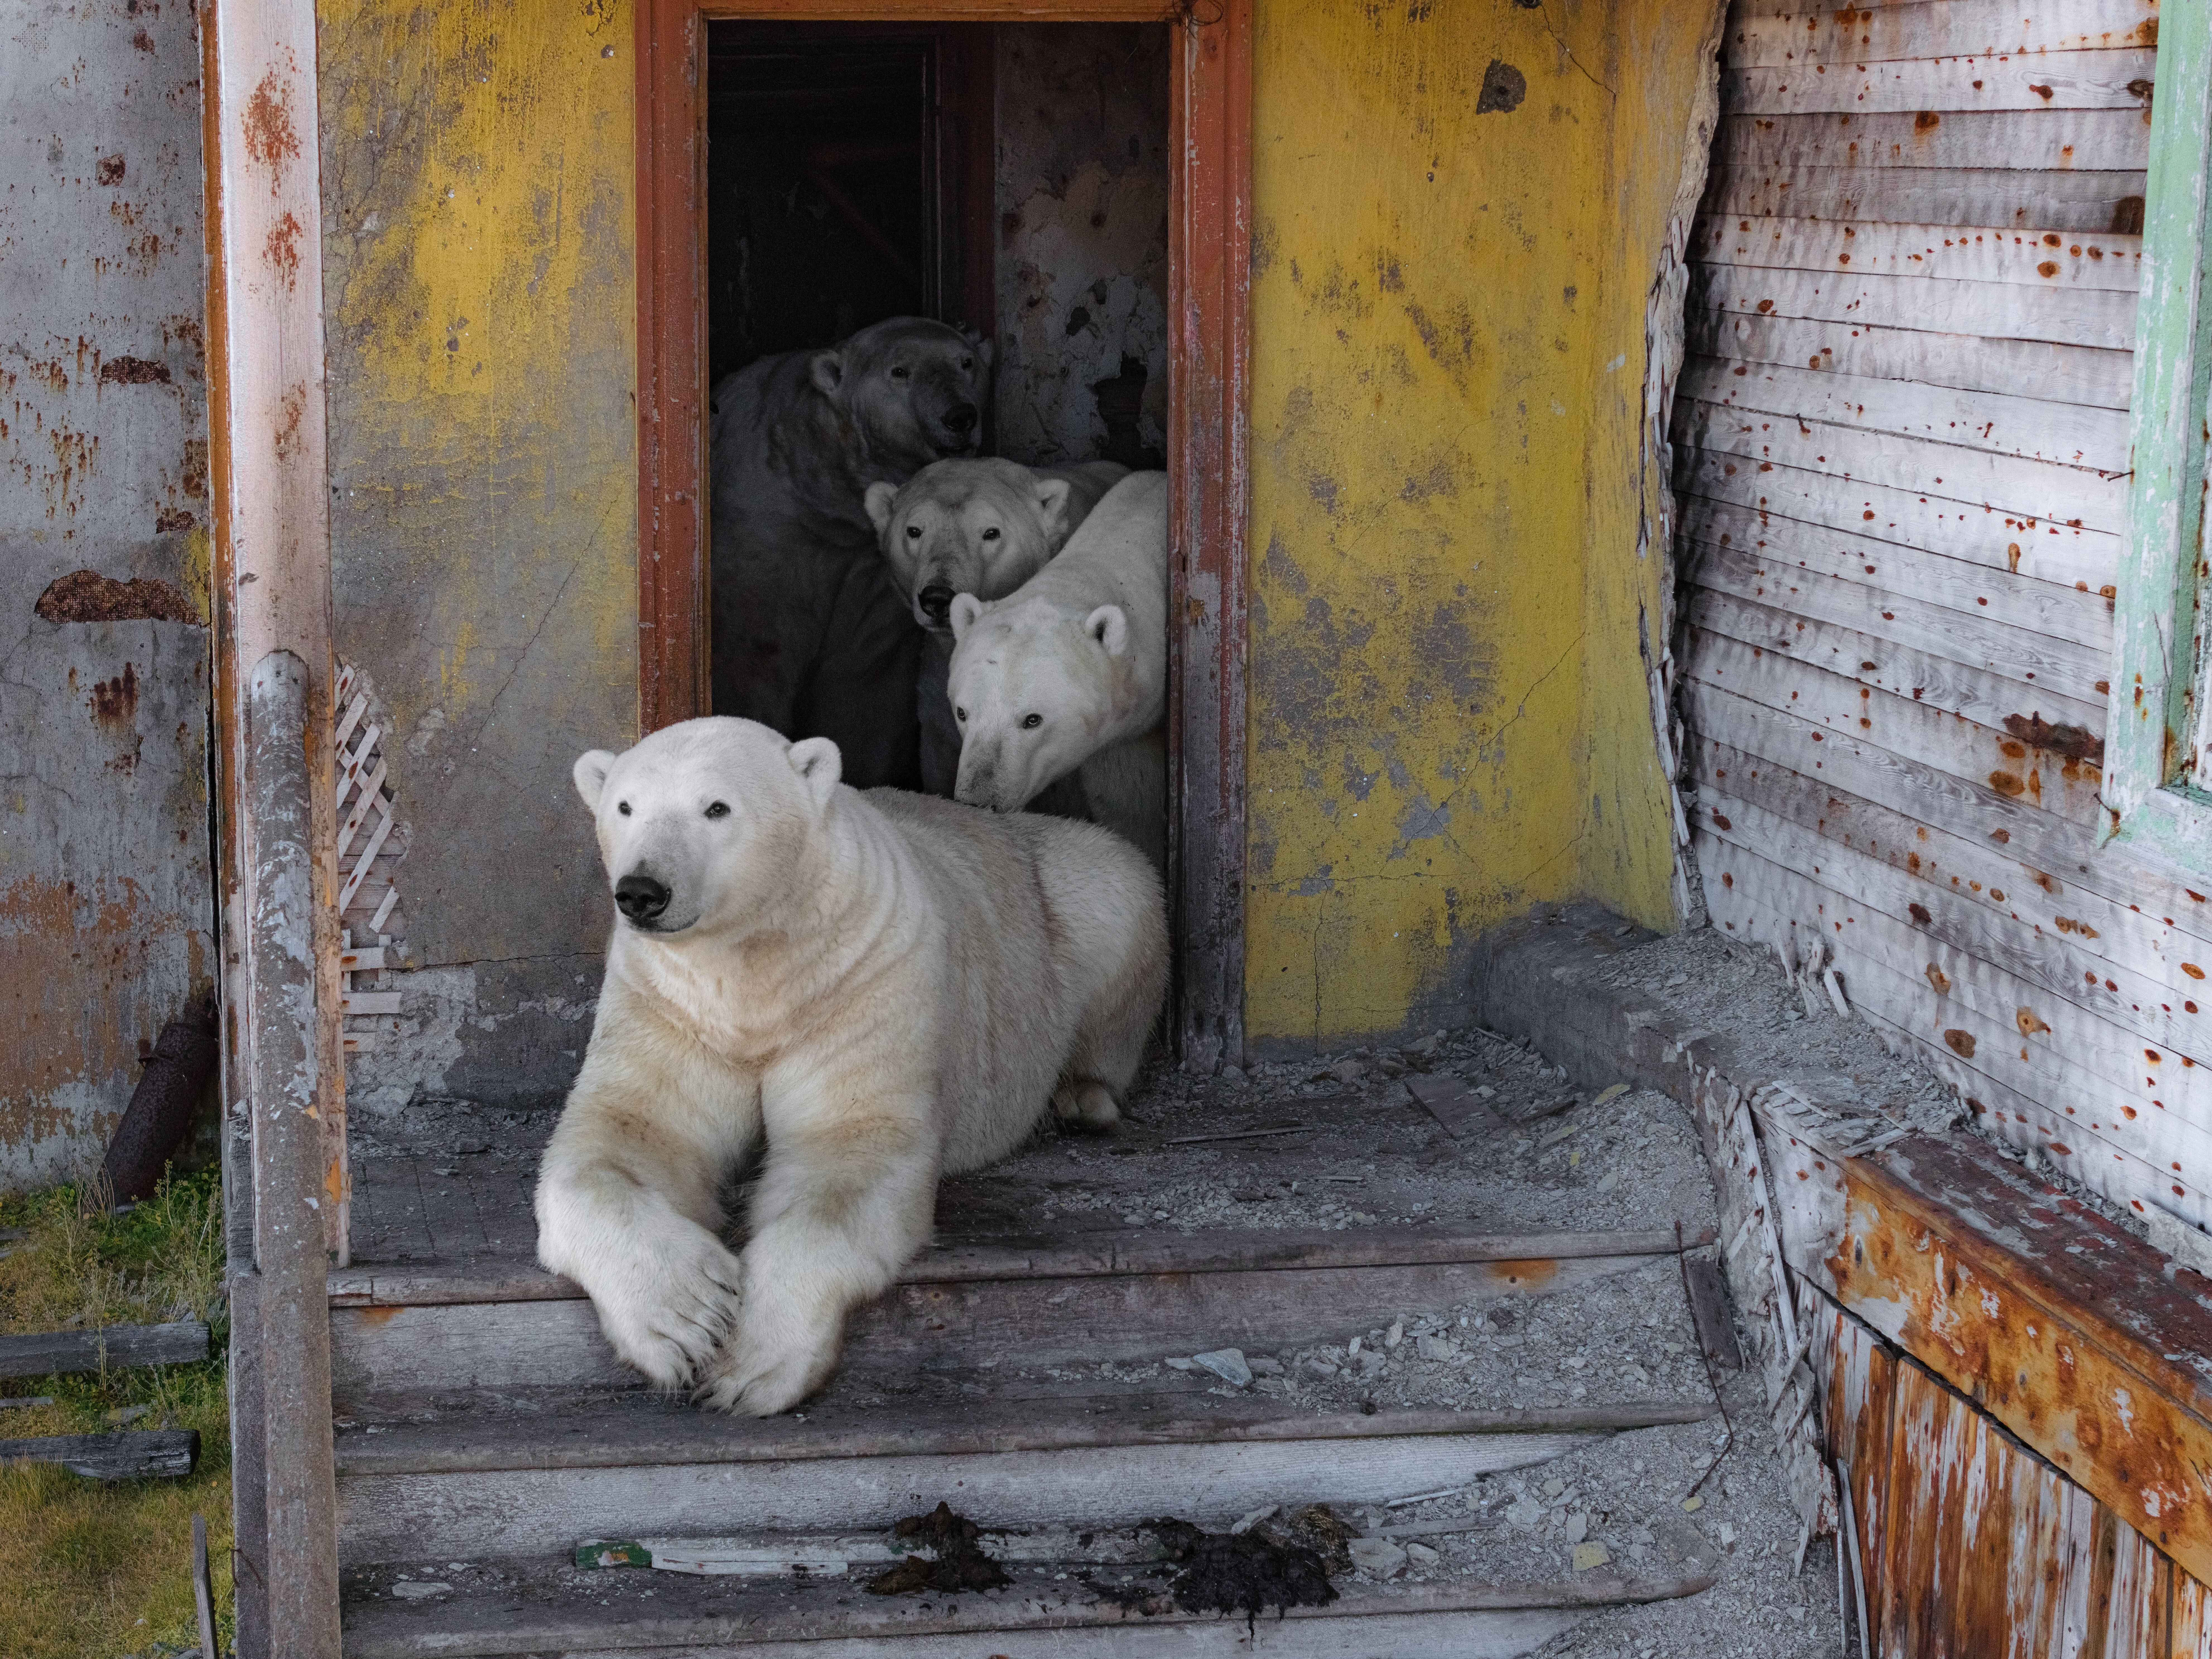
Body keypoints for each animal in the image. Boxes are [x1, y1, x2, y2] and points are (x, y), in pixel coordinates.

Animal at [533, 716, 1168, 1416]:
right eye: (625, 806)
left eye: (716, 807)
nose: (642, 891)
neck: (758, 965)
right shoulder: (671, 1001)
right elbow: (631, 1130)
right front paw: (685, 1318)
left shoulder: (860, 981)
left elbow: (847, 1151)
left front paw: (751, 1367)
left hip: (1074, 897)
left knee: (1119, 900)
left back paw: (1082, 1099)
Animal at [709, 317, 993, 792]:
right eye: (900, 371)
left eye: (966, 362)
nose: (961, 415)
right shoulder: (767, 536)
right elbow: (755, 654)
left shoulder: (869, 568)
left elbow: (862, 680)